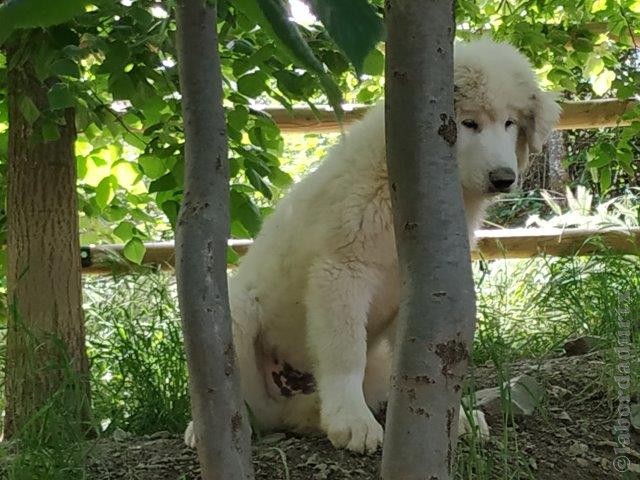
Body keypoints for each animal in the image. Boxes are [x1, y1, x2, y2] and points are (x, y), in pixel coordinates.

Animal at [185, 38, 560, 454]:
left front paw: (455, 418)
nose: (503, 178)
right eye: (468, 123)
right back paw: (209, 429)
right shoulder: (341, 270)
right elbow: (345, 352)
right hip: (235, 313)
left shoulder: (421, 289)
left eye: (510, 123)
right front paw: (352, 421)